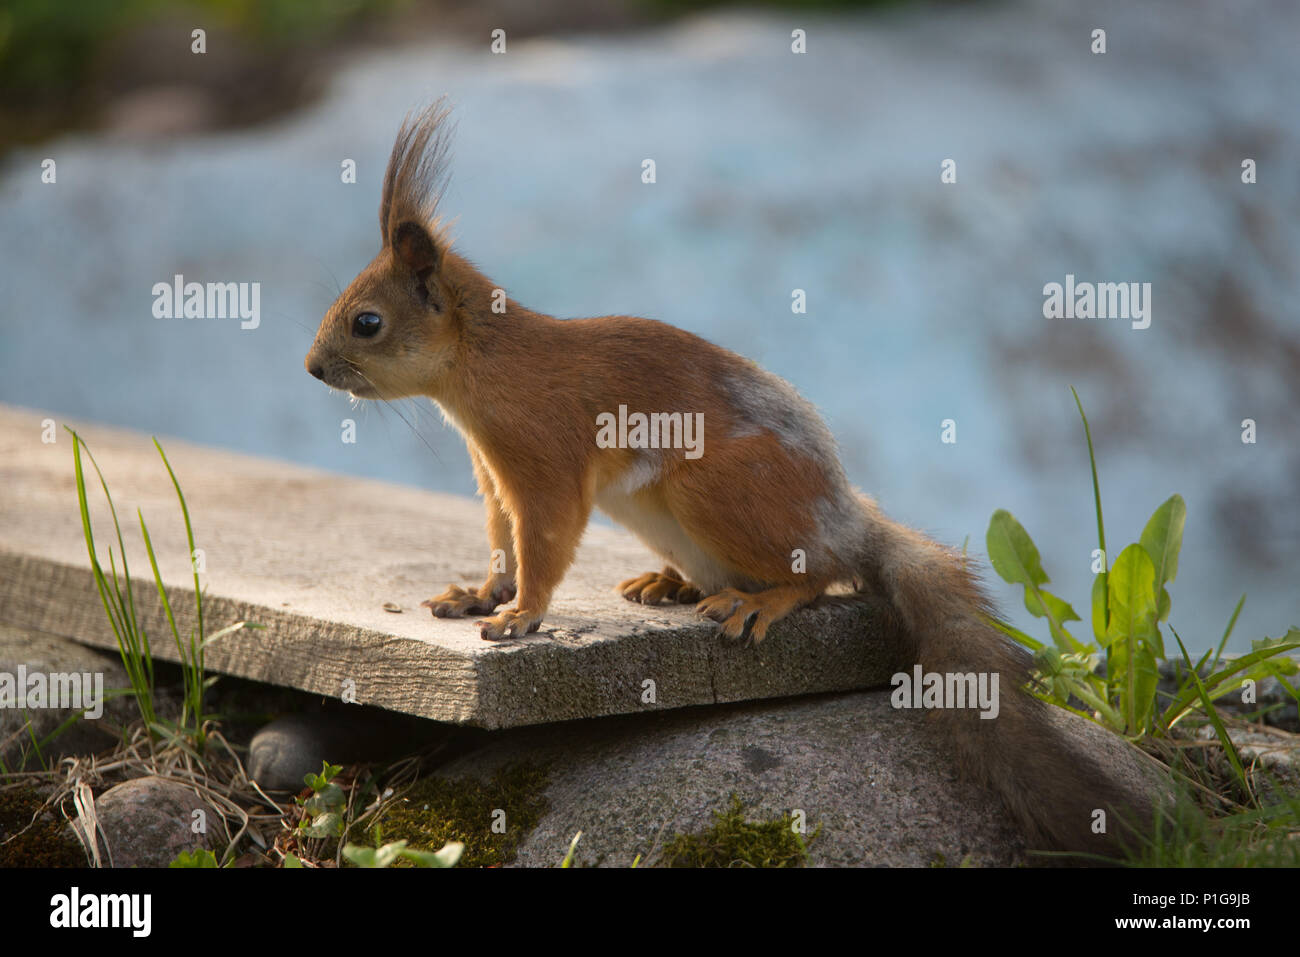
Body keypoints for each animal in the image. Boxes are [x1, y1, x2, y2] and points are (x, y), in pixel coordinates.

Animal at [306, 100, 1159, 858]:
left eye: (367, 322)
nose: (313, 368)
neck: (482, 364)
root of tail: (845, 514)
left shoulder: (545, 459)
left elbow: (543, 540)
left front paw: (520, 616)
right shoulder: (493, 472)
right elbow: (500, 540)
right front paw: (480, 593)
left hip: (717, 491)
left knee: (823, 572)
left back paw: (762, 600)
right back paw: (671, 582)